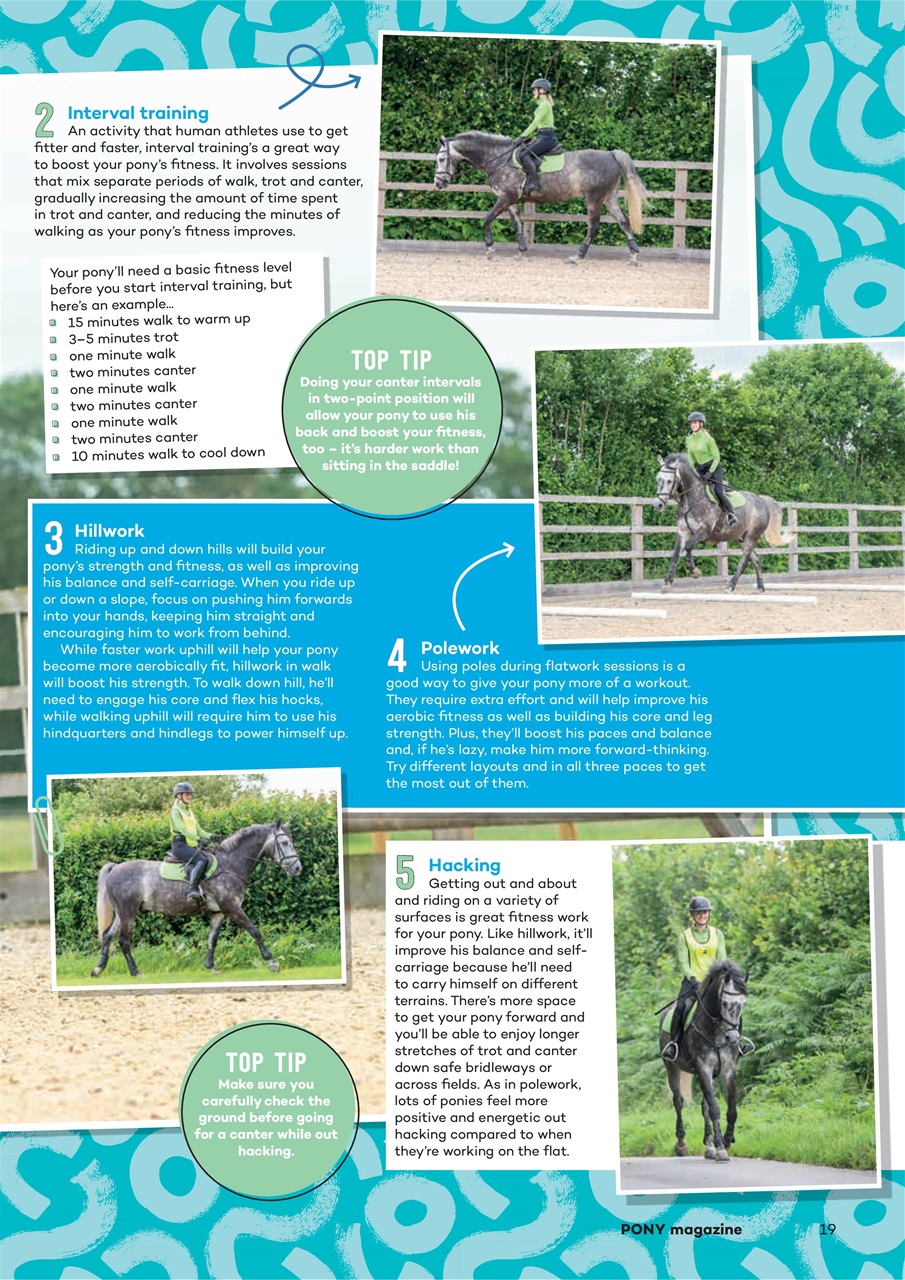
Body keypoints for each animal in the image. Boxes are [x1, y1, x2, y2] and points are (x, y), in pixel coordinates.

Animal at [90, 822, 302, 978]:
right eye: (284, 842)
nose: (297, 868)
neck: (229, 865)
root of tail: (115, 868)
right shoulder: (232, 908)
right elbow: (254, 931)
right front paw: (272, 962)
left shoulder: (219, 912)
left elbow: (212, 939)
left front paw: (210, 966)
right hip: (128, 912)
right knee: (124, 941)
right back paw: (136, 972)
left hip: (122, 913)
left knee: (108, 936)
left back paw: (98, 969)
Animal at [433, 131, 648, 264]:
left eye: (442, 159)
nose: (438, 183)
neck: (499, 159)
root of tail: (610, 154)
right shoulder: (510, 200)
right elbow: (517, 224)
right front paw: (520, 251)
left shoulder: (506, 197)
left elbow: (487, 219)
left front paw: (490, 250)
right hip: (609, 198)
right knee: (624, 221)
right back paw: (633, 256)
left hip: (594, 198)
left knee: (594, 226)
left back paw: (577, 257)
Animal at [654, 452, 792, 592]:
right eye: (657, 479)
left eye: (669, 481)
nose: (657, 504)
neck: (693, 498)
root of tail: (761, 500)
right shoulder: (682, 532)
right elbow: (676, 554)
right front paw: (667, 582)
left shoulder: (703, 532)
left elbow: (688, 546)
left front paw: (694, 571)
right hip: (740, 538)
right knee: (755, 559)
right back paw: (760, 587)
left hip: (752, 536)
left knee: (744, 561)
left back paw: (731, 585)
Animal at [659, 959, 750, 1161]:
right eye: (724, 1002)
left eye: (743, 1003)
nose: (733, 1037)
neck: (716, 1031)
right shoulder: (704, 1069)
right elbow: (715, 1109)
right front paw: (722, 1149)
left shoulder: (728, 1070)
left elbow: (731, 1110)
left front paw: (726, 1140)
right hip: (672, 1068)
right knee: (678, 1102)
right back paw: (682, 1145)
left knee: (704, 1106)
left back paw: (709, 1146)